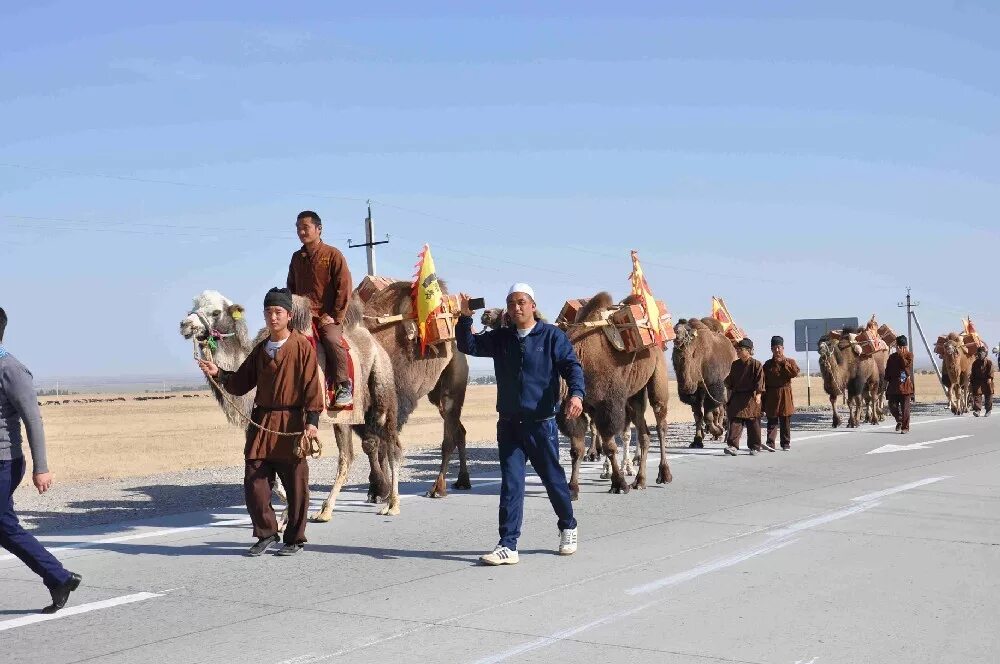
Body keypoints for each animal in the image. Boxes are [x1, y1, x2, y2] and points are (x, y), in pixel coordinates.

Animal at [362, 278, 470, 500]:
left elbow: (379, 442)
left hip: (452, 387)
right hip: (435, 394)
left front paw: (382, 490)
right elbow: (370, 443)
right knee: (459, 431)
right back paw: (462, 481)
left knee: (449, 436)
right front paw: (377, 490)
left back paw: (438, 488)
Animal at [672, 316, 736, 446]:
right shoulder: (696, 390)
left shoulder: (713, 386)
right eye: (674, 328)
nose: (677, 337)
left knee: (727, 409)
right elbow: (698, 416)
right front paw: (697, 440)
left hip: (728, 388)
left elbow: (708, 415)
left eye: (685, 331)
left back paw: (726, 436)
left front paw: (718, 431)